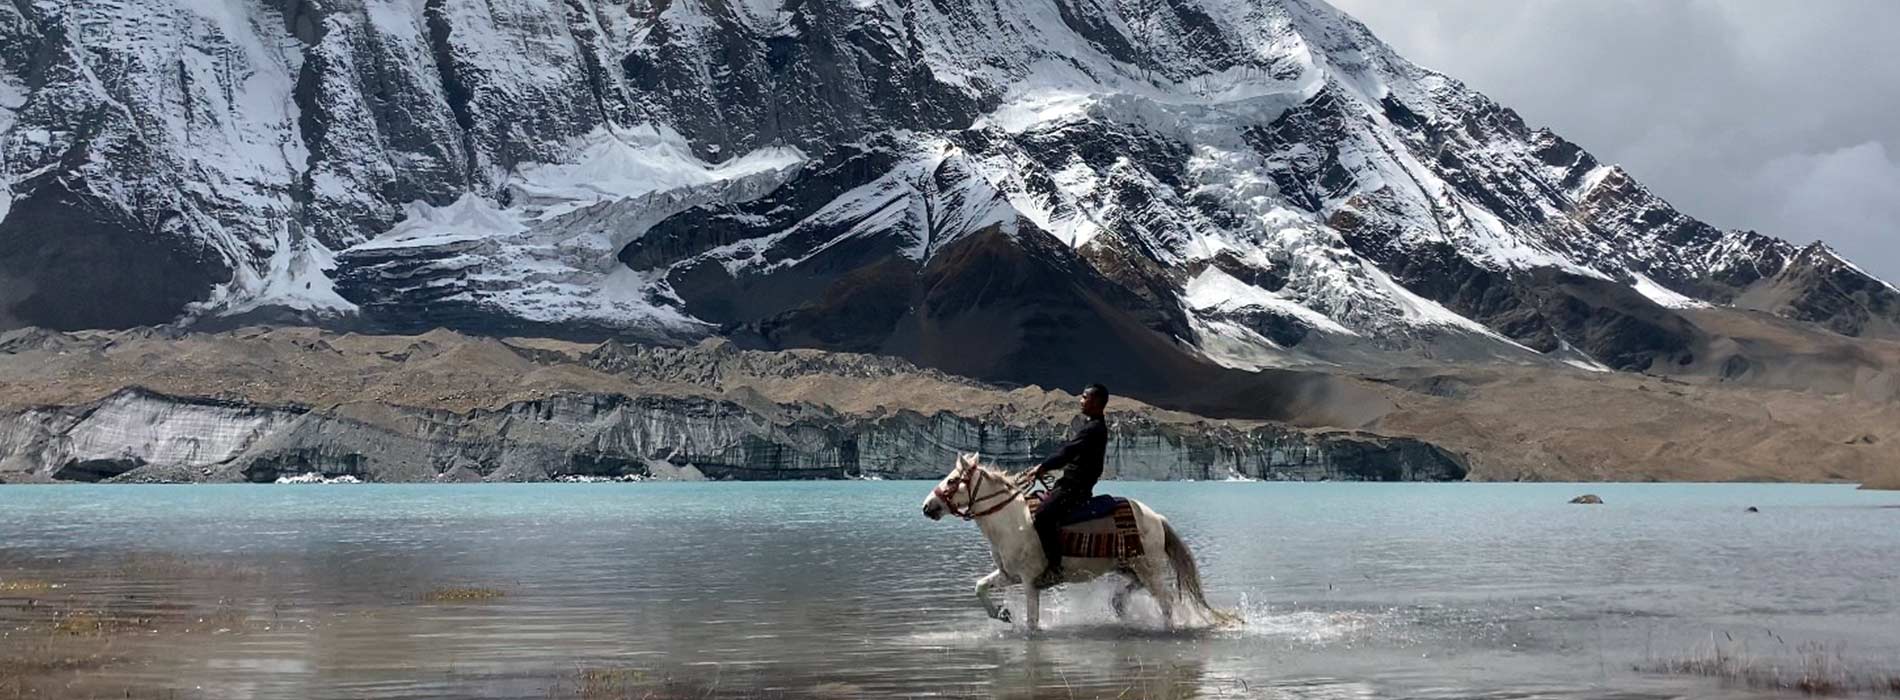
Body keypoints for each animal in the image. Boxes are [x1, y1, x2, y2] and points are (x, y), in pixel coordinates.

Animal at [915, 450, 1238, 631]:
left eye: (952, 480)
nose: (927, 507)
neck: (1011, 521)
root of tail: (1156, 517)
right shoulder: (1008, 575)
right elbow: (980, 586)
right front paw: (1002, 614)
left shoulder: (1029, 581)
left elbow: (1032, 624)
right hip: (1131, 567)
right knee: (1129, 594)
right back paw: (1121, 607)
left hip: (1149, 568)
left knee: (1166, 601)